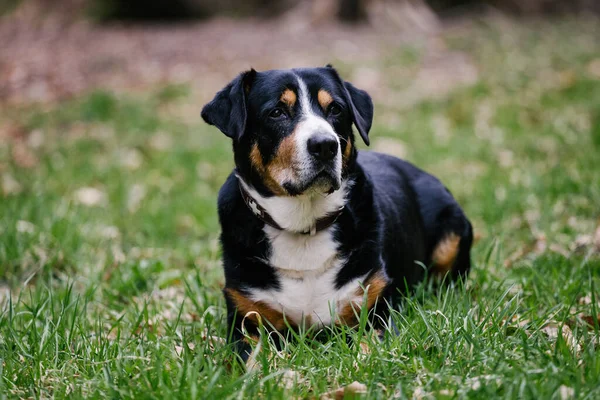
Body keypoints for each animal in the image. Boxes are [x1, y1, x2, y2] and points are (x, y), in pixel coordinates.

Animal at [202, 66, 474, 362]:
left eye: (335, 109)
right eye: (276, 112)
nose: (325, 145)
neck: (304, 226)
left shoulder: (374, 311)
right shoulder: (247, 318)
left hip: (452, 235)